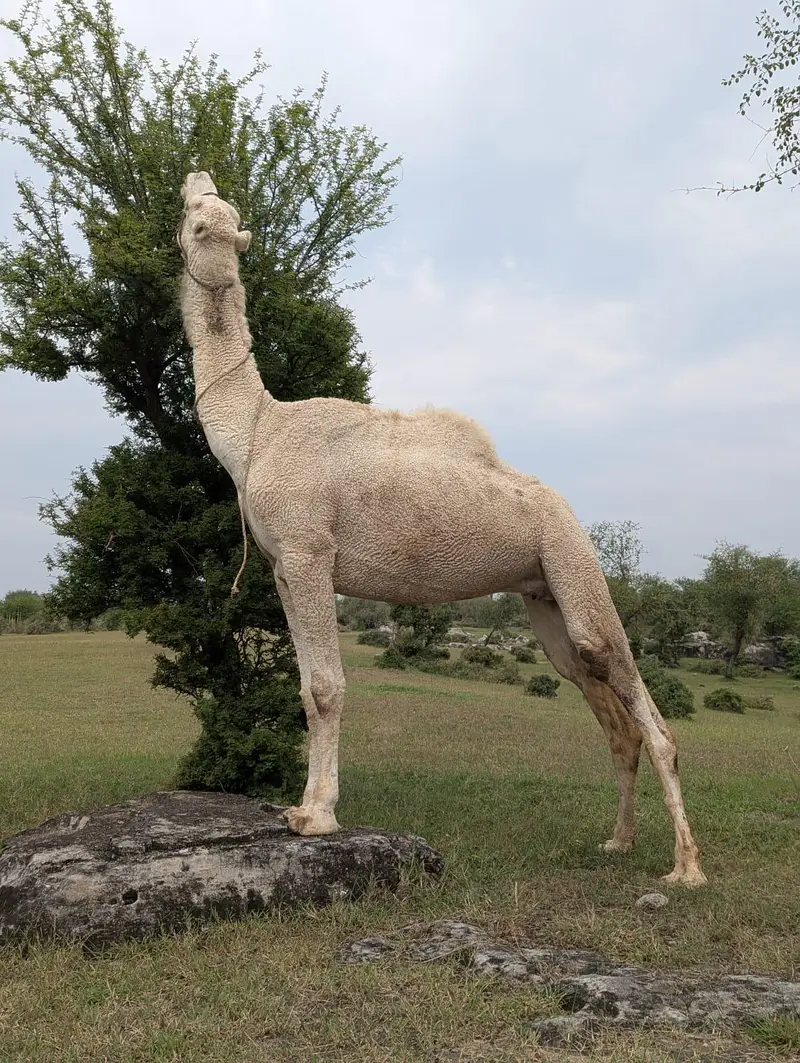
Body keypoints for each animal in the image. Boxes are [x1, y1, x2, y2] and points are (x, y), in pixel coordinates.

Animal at [177, 171, 707, 887]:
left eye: (202, 215)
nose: (196, 178)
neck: (257, 434)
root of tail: (566, 510)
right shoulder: (285, 565)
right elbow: (308, 689)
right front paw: (302, 807)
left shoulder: (310, 551)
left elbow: (325, 687)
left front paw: (318, 817)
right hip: (544, 594)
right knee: (605, 710)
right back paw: (618, 843)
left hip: (574, 560)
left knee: (639, 701)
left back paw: (685, 868)